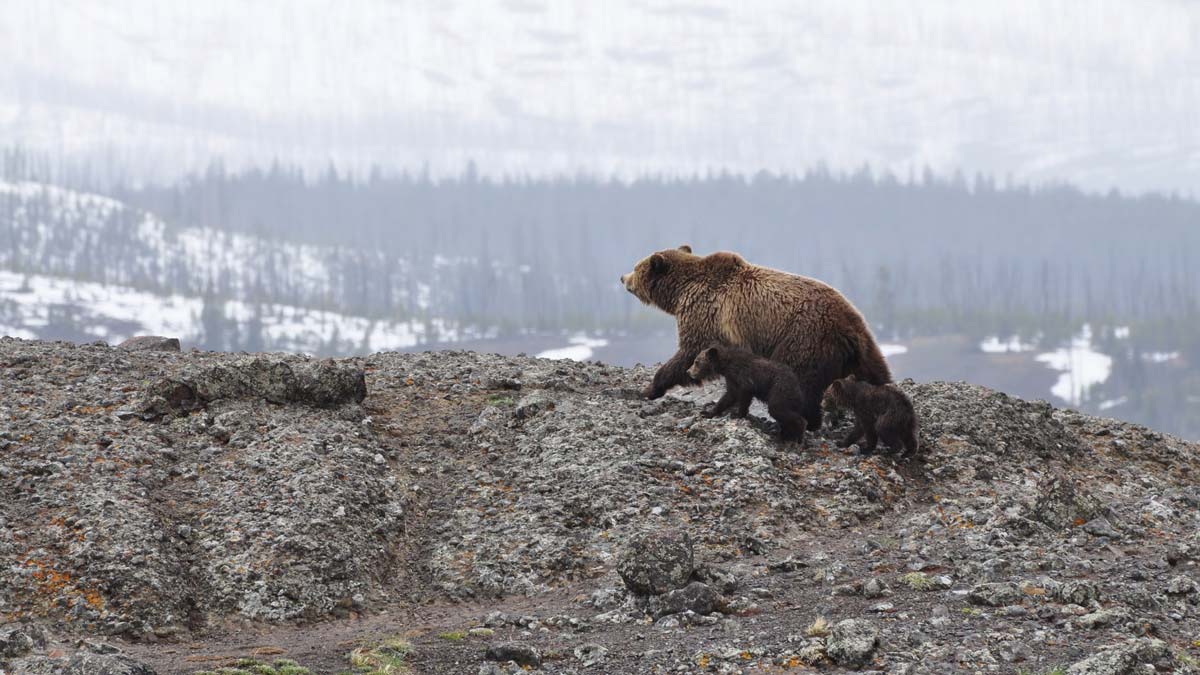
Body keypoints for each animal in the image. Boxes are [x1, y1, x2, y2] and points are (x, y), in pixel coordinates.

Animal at [619, 243, 892, 427]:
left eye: (636, 267)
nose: (622, 277)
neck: (679, 293)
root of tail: (849, 327)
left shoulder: (705, 314)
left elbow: (689, 352)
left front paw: (650, 388)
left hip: (803, 338)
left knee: (800, 381)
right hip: (863, 349)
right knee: (877, 375)